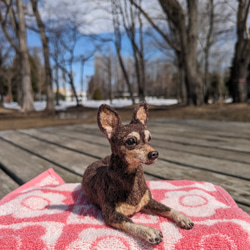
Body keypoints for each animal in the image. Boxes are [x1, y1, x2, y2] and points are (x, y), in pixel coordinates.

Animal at [82, 101, 193, 244]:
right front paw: (148, 231)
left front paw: (182, 217)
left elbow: (167, 208)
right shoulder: (111, 215)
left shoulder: (149, 201)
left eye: (149, 138)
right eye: (131, 141)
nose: (154, 153)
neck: (132, 179)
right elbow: (130, 223)